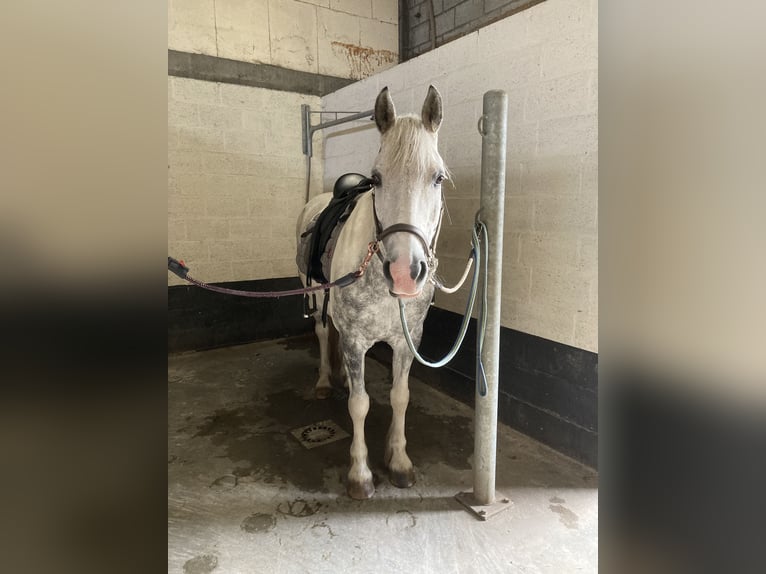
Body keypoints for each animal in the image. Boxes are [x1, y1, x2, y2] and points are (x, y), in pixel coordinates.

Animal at [296, 84, 448, 500]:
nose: (404, 272)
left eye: (438, 178)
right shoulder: (355, 338)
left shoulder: (407, 339)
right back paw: (322, 382)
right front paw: (360, 474)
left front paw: (399, 462)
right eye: (377, 178)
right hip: (315, 294)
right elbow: (360, 405)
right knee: (322, 331)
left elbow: (400, 396)